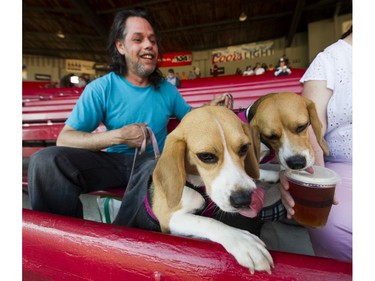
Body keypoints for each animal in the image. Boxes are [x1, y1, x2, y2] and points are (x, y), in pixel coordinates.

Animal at [149, 105, 274, 274]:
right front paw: (243, 242)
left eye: (244, 148)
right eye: (206, 156)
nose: (244, 200)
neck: (198, 184)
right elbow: (207, 221)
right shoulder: (168, 219)